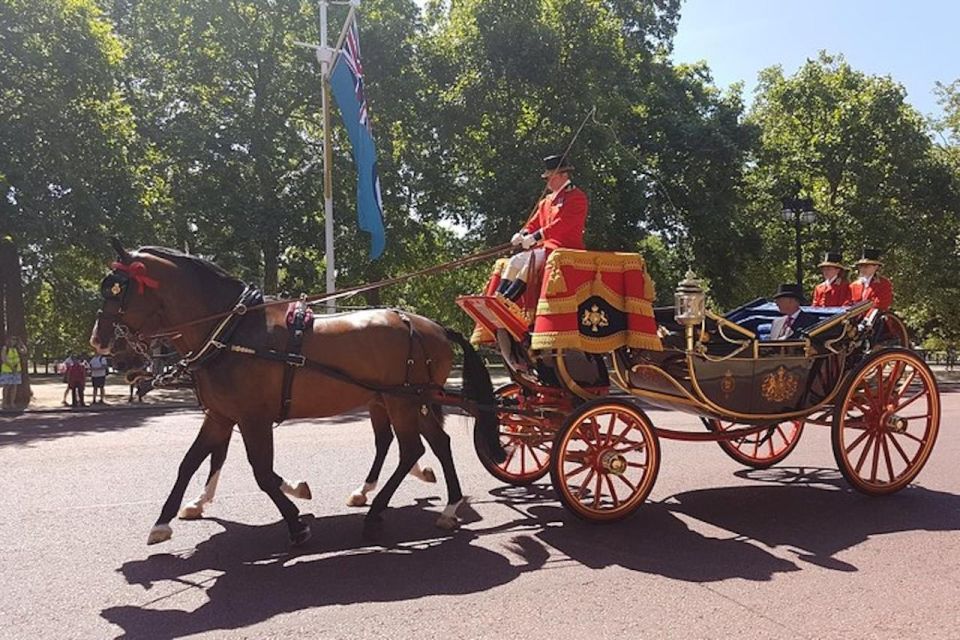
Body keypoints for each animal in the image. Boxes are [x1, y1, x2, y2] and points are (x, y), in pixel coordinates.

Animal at [93, 241, 506, 544]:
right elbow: (192, 462)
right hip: (407, 400)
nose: (101, 344)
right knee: (435, 443)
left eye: (117, 290)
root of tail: (430, 325)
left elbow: (261, 473)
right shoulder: (221, 415)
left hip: (402, 400)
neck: (231, 332)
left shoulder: (253, 418)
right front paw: (166, 520)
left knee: (411, 450)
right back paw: (448, 506)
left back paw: (378, 512)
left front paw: (296, 518)